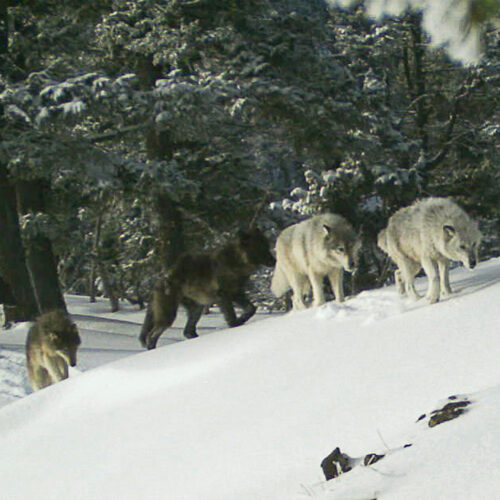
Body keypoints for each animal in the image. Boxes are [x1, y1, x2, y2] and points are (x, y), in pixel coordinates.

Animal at [139, 229, 276, 350]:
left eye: (267, 246)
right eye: (261, 248)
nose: (275, 261)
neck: (236, 260)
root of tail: (159, 280)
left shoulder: (237, 293)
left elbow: (251, 309)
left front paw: (241, 320)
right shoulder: (223, 295)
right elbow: (231, 316)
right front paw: (235, 325)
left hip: (196, 309)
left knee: (187, 332)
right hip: (169, 315)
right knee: (152, 336)